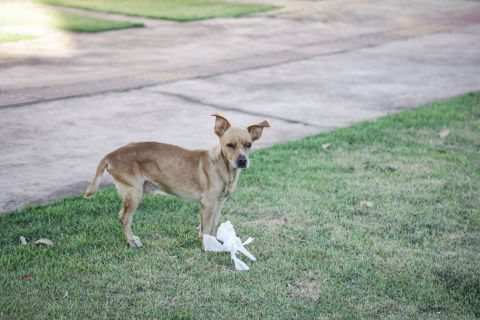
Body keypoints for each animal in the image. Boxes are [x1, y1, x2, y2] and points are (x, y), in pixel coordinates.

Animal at [84, 114, 268, 249]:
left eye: (248, 144)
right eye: (229, 145)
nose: (242, 160)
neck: (223, 167)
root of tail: (110, 155)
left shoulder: (219, 203)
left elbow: (212, 226)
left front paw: (213, 242)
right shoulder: (208, 204)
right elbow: (207, 228)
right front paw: (207, 247)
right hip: (134, 194)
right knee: (124, 217)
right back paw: (131, 241)